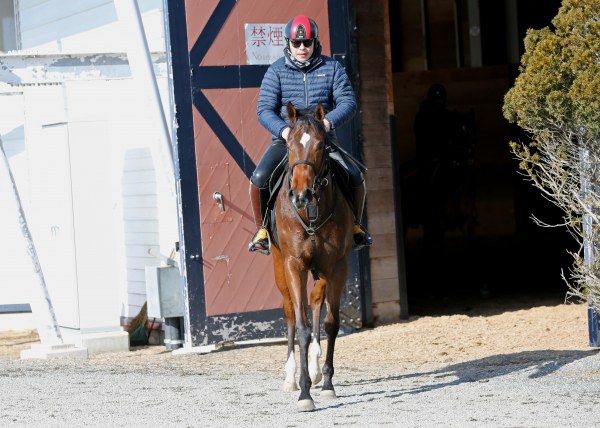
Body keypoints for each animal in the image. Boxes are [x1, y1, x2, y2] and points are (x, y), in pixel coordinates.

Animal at [271, 102, 354, 411]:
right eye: (289, 145)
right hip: (279, 266)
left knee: (317, 303)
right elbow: (303, 327)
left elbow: (331, 323)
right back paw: (291, 376)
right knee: (290, 312)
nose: (301, 195)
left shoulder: (337, 266)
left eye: (320, 145)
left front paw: (327, 383)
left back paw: (317, 369)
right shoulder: (294, 265)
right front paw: (304, 392)